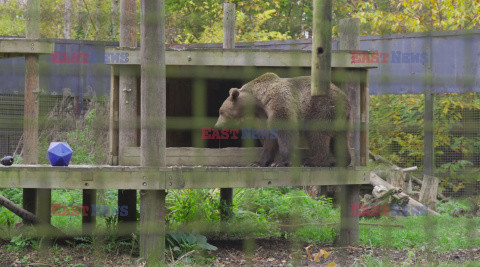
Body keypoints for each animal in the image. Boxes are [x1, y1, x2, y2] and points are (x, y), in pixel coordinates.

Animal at [216, 73, 350, 168]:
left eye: (221, 111)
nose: (217, 126)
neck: (258, 103)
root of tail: (344, 97)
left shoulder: (279, 101)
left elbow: (285, 131)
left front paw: (281, 162)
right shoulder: (262, 117)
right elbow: (268, 139)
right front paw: (258, 162)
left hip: (322, 108)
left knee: (316, 134)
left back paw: (312, 160)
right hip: (340, 119)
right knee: (340, 139)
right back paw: (343, 161)